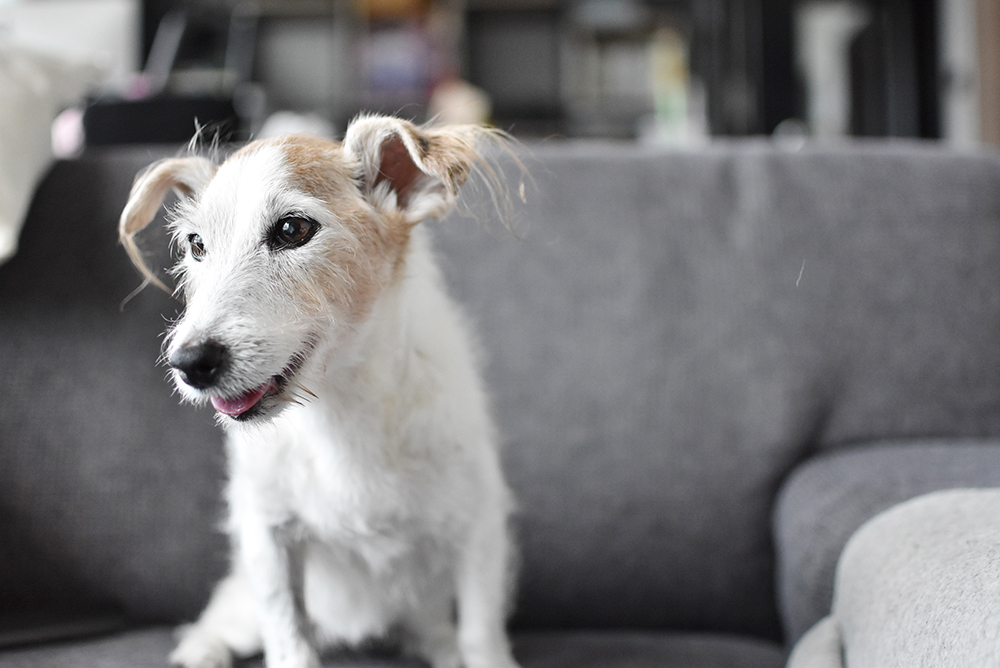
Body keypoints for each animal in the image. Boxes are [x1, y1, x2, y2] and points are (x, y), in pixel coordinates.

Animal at [119, 115, 519, 668]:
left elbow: (481, 635)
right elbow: (287, 635)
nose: (189, 363)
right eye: (197, 244)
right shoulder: (266, 534)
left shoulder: (479, 528)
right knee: (216, 619)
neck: (339, 407)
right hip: (243, 607)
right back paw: (200, 651)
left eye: (293, 230)